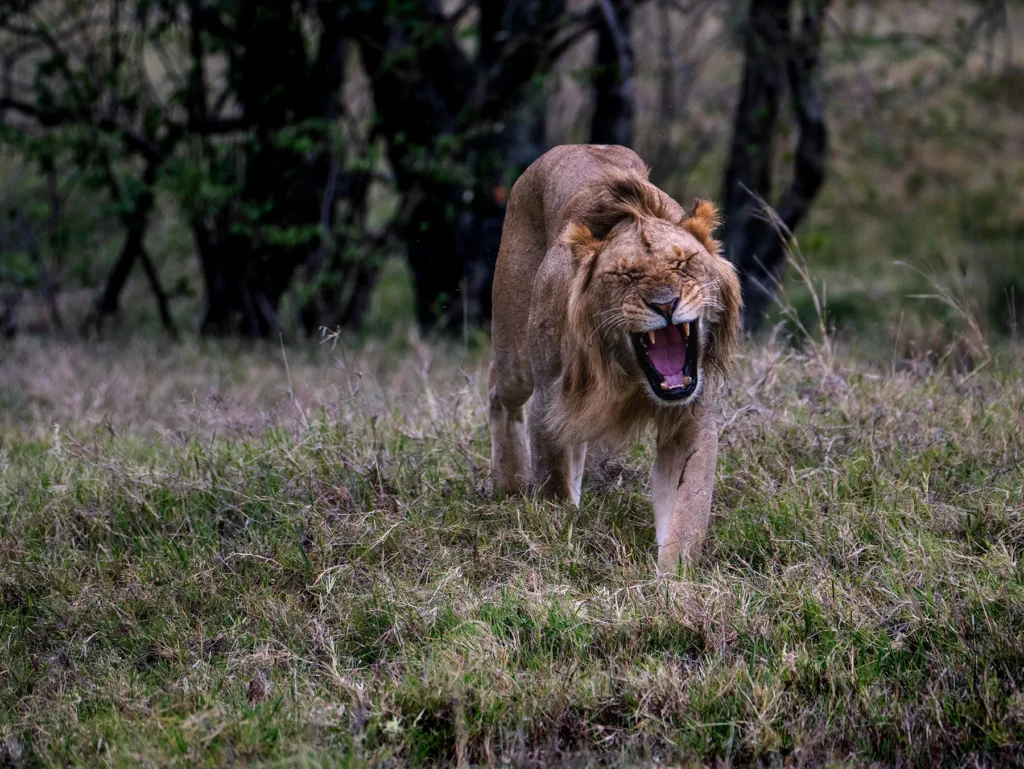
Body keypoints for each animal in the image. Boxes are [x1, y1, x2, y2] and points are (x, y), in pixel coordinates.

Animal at [488, 145, 742, 571]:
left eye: (682, 264)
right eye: (626, 276)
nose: (666, 304)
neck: (629, 373)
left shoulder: (691, 419)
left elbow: (686, 513)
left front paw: (672, 579)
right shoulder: (550, 406)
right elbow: (554, 488)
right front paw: (563, 545)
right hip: (515, 355)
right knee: (498, 392)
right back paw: (509, 483)